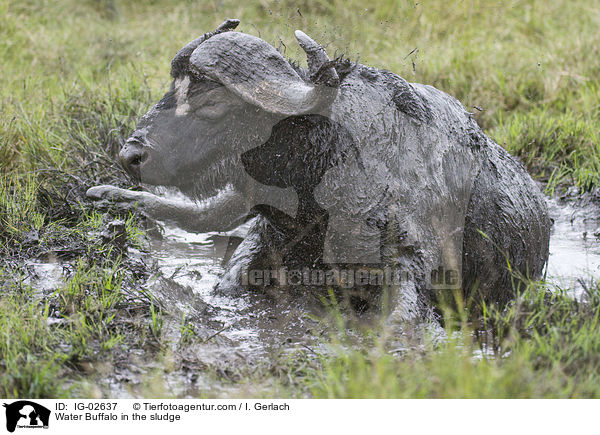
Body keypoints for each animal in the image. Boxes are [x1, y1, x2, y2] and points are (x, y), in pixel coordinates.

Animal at [86, 19, 552, 324]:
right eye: (172, 88)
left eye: (212, 100)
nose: (130, 155)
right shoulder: (265, 239)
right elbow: (229, 282)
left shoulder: (408, 260)